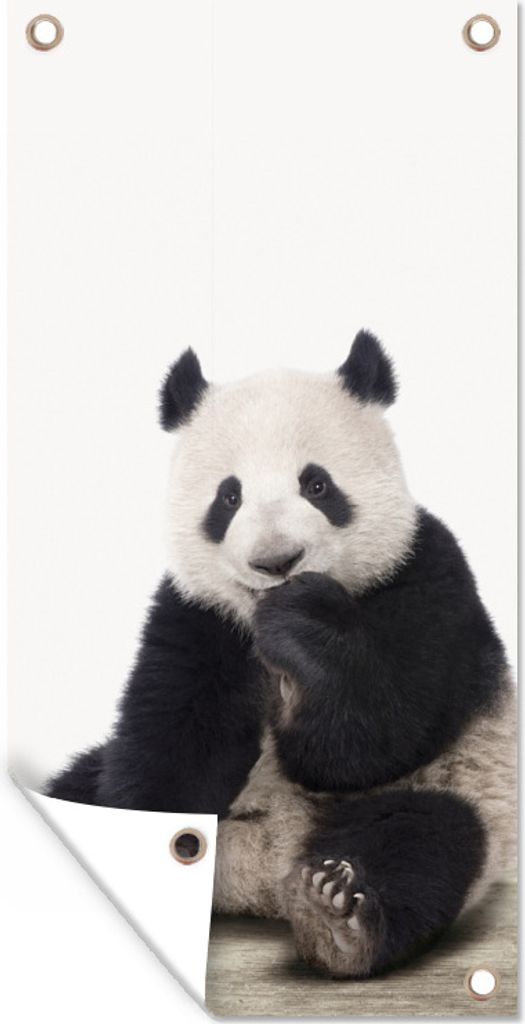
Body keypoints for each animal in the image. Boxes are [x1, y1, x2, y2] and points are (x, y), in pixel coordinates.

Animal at [46, 330, 516, 978]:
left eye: (316, 485)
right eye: (229, 496)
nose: (276, 562)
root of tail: (261, 876)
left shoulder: (426, 576)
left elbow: (371, 737)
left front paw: (303, 625)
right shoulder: (197, 614)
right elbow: (172, 737)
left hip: (463, 791)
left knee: (427, 841)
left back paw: (337, 917)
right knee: (77, 785)